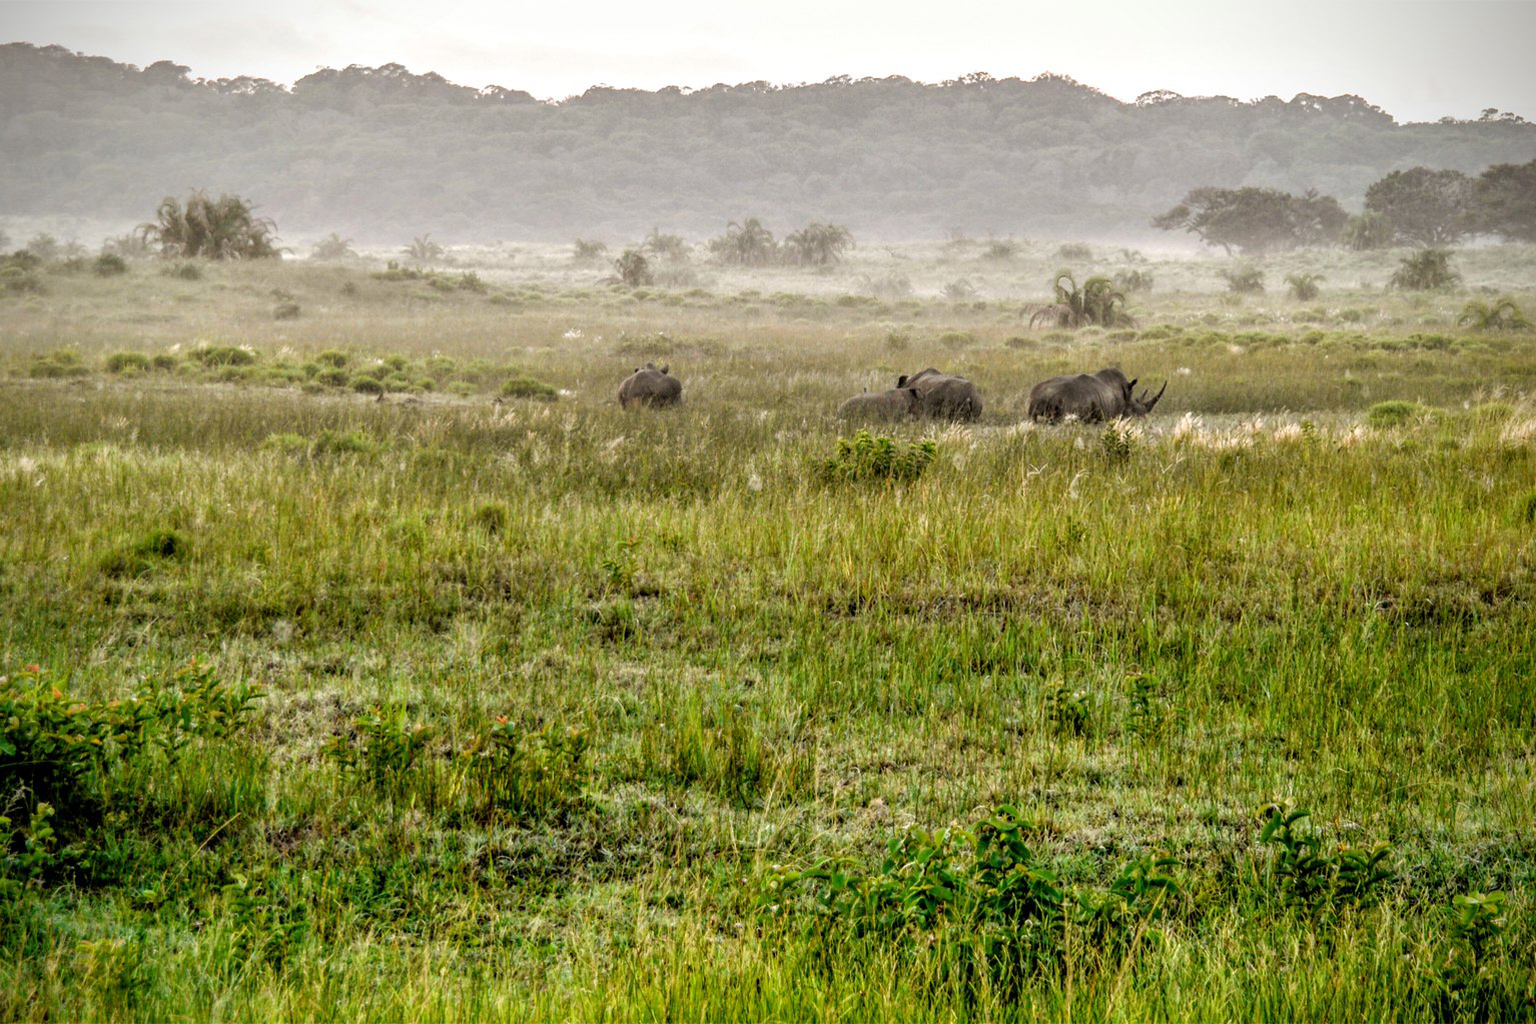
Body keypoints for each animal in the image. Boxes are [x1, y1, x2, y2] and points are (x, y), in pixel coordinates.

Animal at [1032, 368, 1161, 423]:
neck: (1126, 398)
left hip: (1033, 399)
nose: (1145, 419)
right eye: (1135, 411)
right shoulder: (1109, 415)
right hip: (1068, 402)